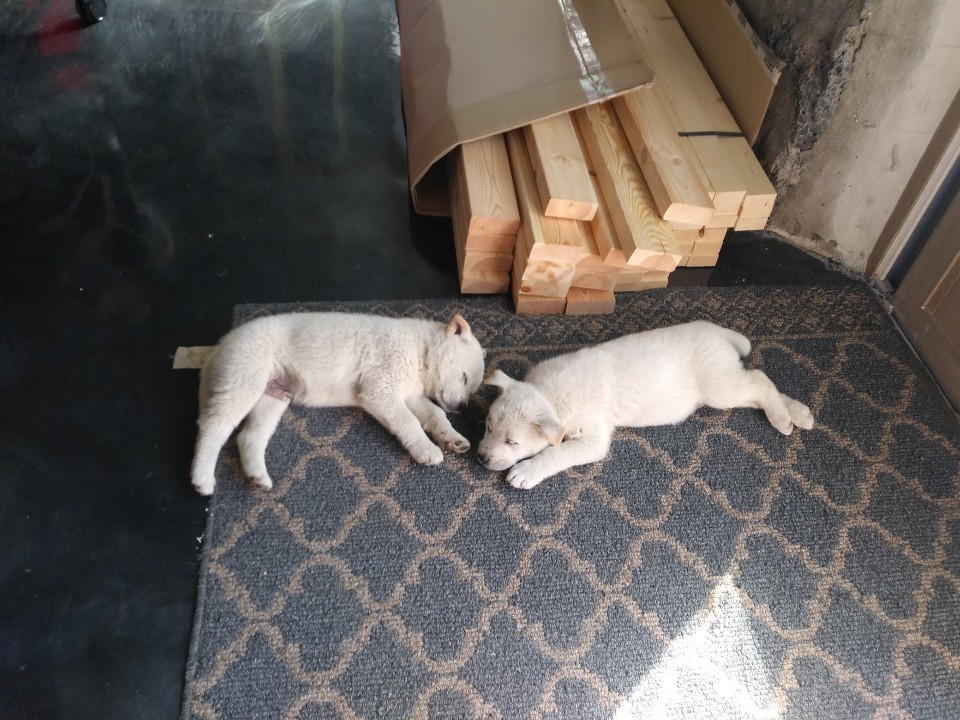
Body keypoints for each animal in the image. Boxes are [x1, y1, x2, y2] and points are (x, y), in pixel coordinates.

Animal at [191, 311, 486, 495]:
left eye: (471, 389)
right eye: (463, 377)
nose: (462, 407)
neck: (419, 350)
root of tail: (221, 345)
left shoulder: (411, 394)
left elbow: (434, 414)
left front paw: (452, 438)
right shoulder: (381, 388)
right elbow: (408, 421)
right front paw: (426, 449)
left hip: (272, 396)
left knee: (249, 437)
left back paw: (258, 477)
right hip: (244, 379)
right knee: (213, 427)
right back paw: (202, 478)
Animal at [477, 321, 814, 490]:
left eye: (512, 442)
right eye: (487, 426)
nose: (481, 458)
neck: (548, 393)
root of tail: (713, 329)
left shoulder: (592, 439)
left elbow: (556, 453)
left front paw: (526, 471)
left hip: (718, 387)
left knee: (758, 379)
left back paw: (783, 418)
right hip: (725, 380)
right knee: (759, 387)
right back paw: (796, 414)